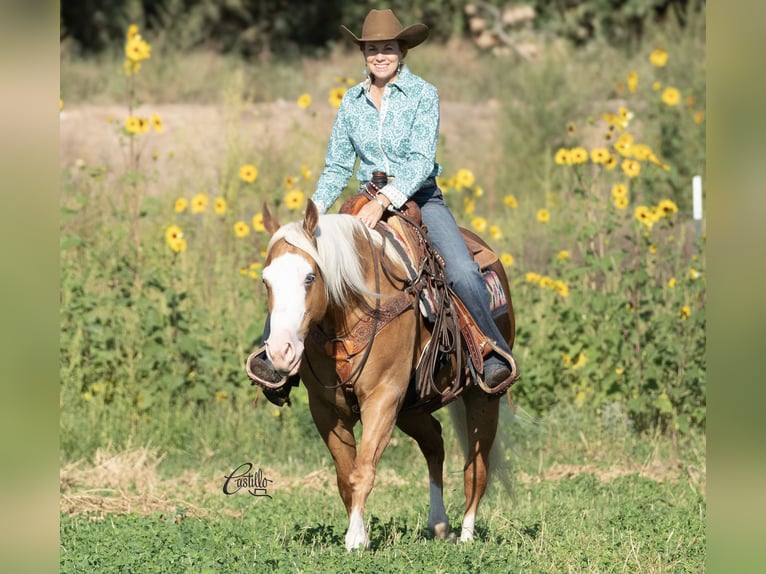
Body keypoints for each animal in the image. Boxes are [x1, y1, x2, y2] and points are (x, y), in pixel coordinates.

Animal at [249, 200, 520, 552]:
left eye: (310, 277)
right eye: (266, 281)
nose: (281, 351)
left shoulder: (382, 397)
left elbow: (363, 470)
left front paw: (355, 539)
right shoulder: (326, 409)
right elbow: (345, 476)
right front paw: (360, 532)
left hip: (482, 398)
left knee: (476, 468)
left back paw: (466, 536)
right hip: (411, 408)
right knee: (434, 443)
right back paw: (439, 523)